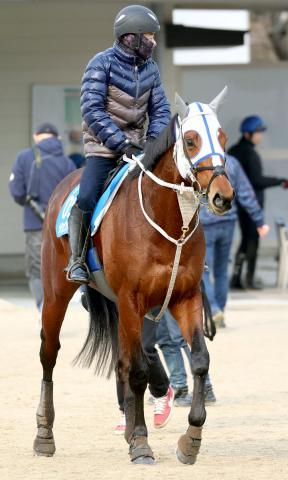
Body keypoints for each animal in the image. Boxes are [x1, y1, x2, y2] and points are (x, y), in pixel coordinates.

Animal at [33, 87, 235, 464]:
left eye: (222, 137)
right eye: (190, 140)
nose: (223, 196)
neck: (166, 220)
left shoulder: (185, 297)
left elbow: (199, 360)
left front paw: (191, 439)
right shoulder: (132, 299)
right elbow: (139, 369)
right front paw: (141, 442)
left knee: (124, 361)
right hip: (56, 294)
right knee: (49, 354)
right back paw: (44, 435)